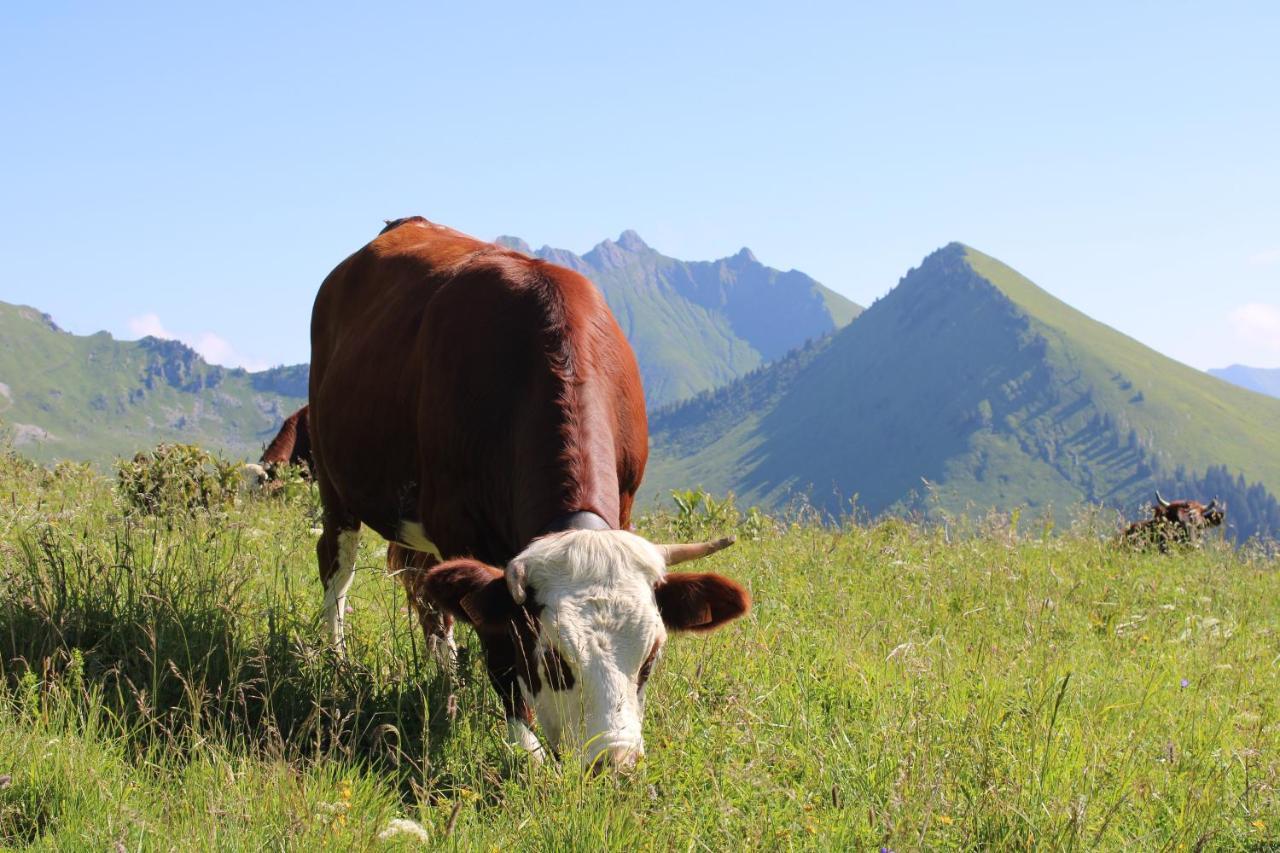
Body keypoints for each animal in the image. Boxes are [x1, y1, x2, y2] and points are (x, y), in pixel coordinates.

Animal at [309, 216, 747, 768]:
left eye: (650, 658)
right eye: (557, 660)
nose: (615, 766)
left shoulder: (625, 501)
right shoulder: (459, 530)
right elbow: (499, 647)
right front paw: (528, 749)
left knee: (425, 593)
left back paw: (446, 679)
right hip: (334, 483)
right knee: (338, 568)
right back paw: (338, 660)